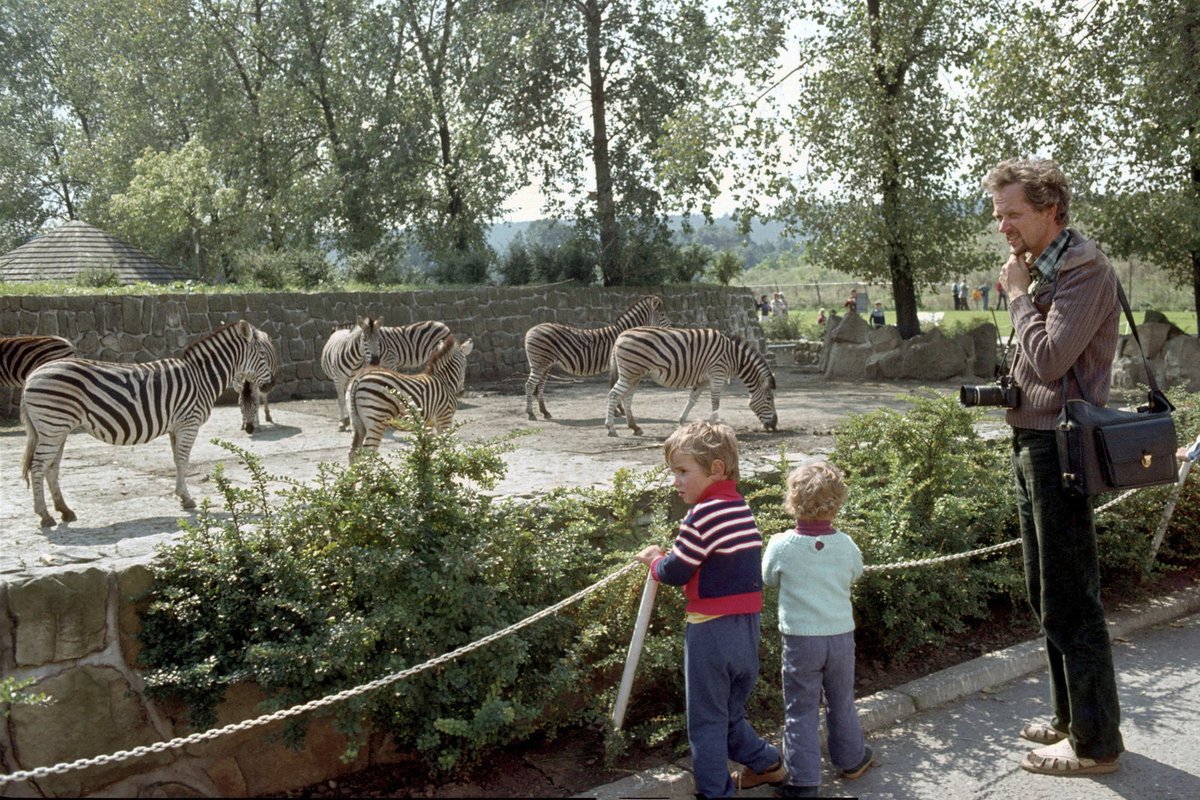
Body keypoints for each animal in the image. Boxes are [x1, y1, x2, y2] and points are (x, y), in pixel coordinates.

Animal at [21, 316, 276, 527]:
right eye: (263, 355)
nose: (271, 386)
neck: (201, 377)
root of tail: (31, 377)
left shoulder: (176, 426)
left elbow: (176, 460)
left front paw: (181, 495)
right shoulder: (188, 423)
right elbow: (183, 461)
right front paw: (187, 499)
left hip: (56, 430)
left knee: (51, 468)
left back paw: (64, 511)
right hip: (53, 427)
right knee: (38, 467)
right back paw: (45, 516)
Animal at [525, 293, 676, 419]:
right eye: (662, 314)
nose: (673, 327)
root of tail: (530, 330)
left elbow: (612, 385)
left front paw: (617, 410)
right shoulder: (617, 364)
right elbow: (614, 386)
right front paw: (618, 410)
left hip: (546, 364)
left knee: (540, 385)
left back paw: (544, 412)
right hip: (539, 363)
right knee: (530, 385)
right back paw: (531, 413)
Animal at [604, 326, 782, 438]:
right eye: (769, 399)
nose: (774, 425)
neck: (735, 357)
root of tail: (620, 335)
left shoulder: (703, 379)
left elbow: (692, 399)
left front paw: (682, 422)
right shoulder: (717, 374)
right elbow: (715, 401)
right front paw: (716, 423)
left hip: (635, 375)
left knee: (627, 397)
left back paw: (634, 427)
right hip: (630, 372)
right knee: (613, 394)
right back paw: (611, 428)